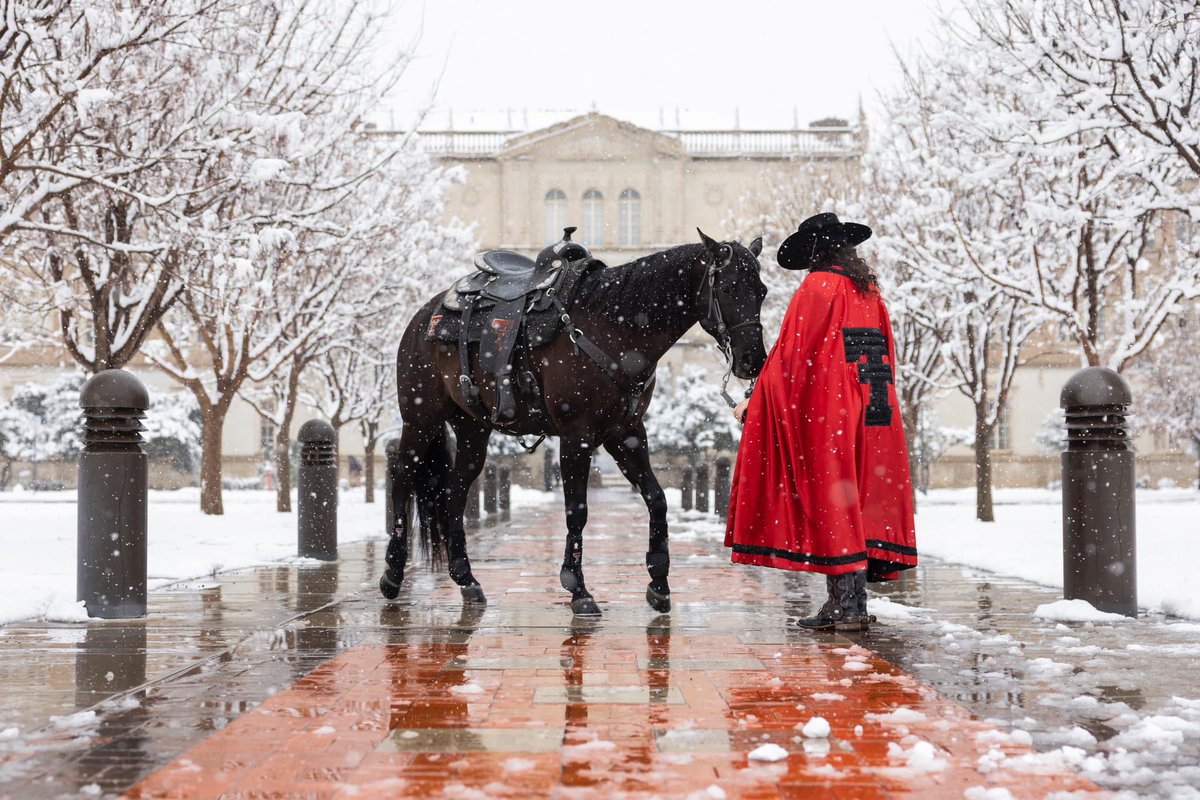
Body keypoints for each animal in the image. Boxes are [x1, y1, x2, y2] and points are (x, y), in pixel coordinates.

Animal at [379, 227, 763, 618]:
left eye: (762, 291)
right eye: (729, 288)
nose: (754, 360)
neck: (614, 329)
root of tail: (425, 314)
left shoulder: (626, 435)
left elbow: (657, 499)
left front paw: (658, 582)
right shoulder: (576, 438)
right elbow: (577, 511)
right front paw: (577, 588)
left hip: (473, 429)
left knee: (454, 491)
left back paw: (466, 579)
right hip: (420, 420)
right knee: (402, 477)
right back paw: (393, 574)